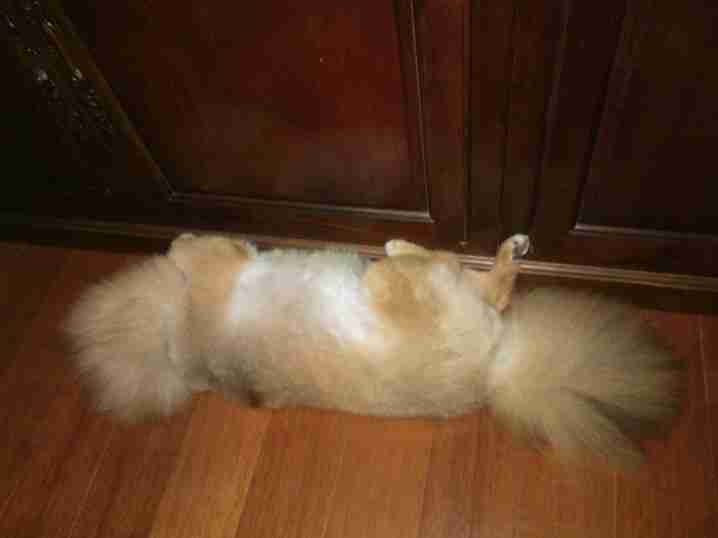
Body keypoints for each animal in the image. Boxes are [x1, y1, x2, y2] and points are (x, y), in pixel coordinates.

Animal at [65, 233, 683, 468]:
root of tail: (492, 368)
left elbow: (196, 248)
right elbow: (201, 250)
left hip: (426, 292)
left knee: (483, 282)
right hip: (410, 290)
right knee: (465, 275)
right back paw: (408, 243)